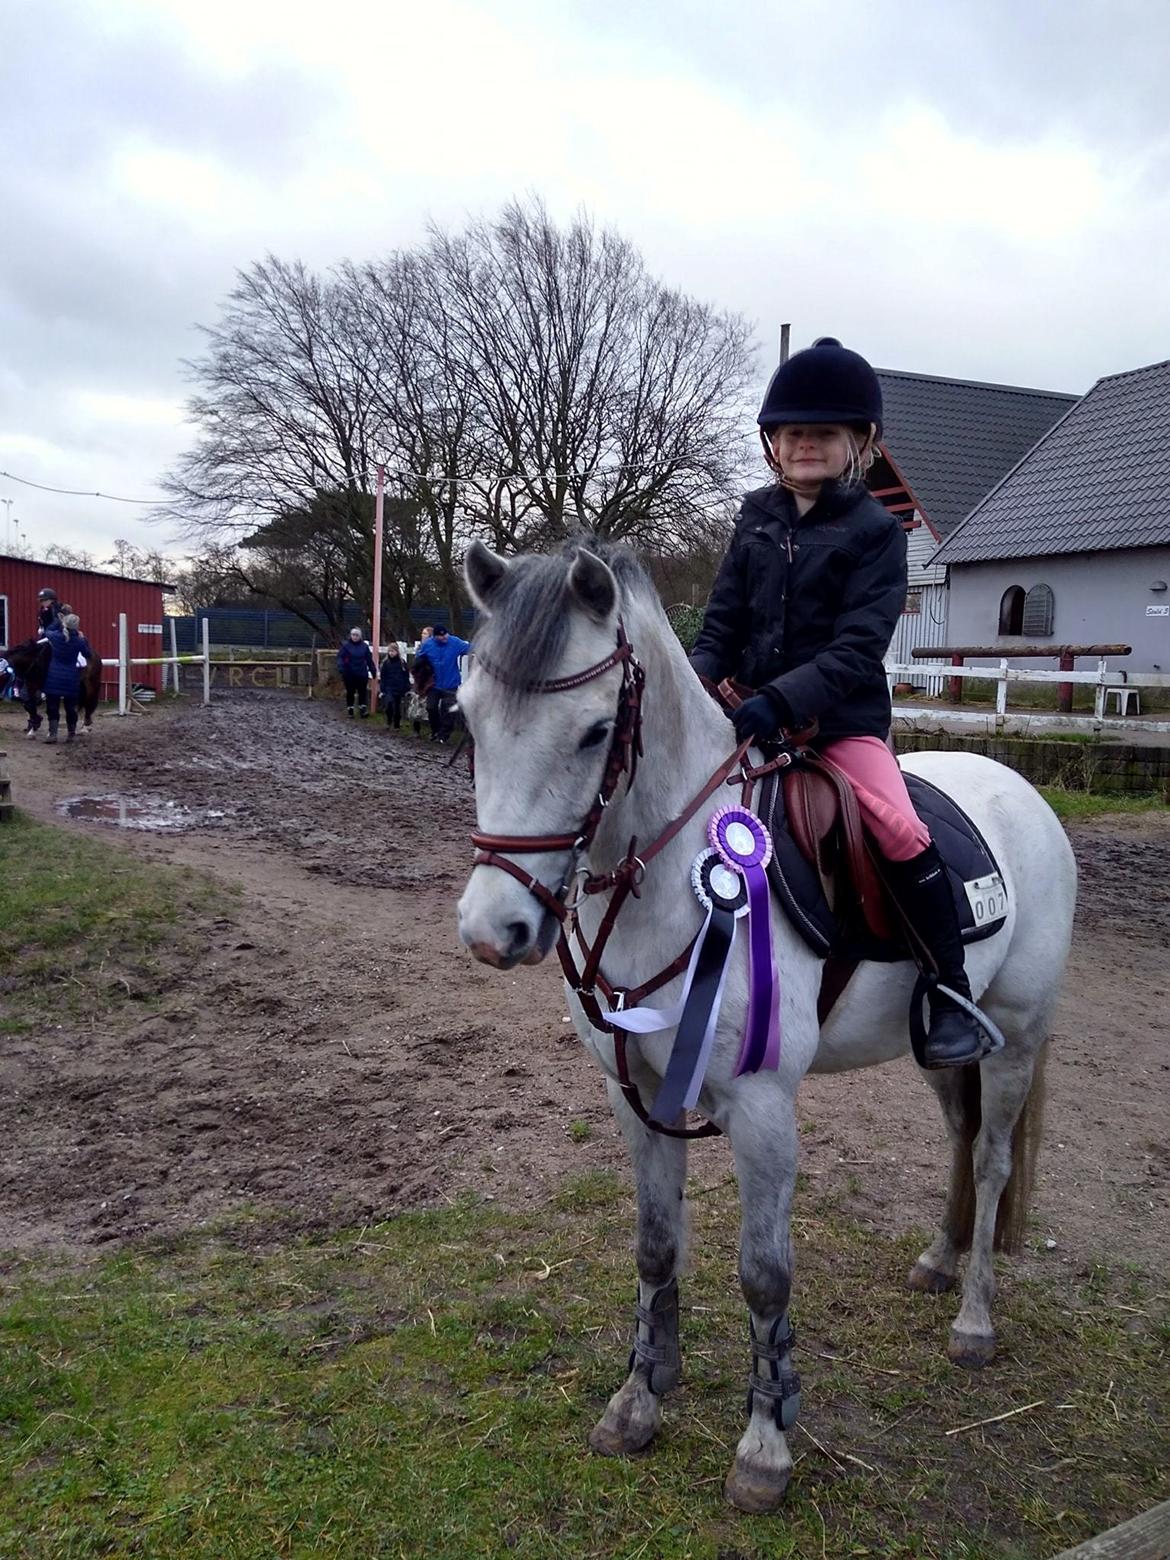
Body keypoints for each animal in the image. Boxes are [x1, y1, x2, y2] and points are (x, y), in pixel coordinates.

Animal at [455, 538, 1076, 1513]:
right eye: (468, 718)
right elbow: (654, 1246)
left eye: (594, 733)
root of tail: (1019, 788)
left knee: (991, 1158)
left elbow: (764, 1273)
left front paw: (765, 1444)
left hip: (1015, 1038)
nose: (494, 932)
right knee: (959, 1135)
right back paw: (938, 1262)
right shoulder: (635, 1096)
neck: (679, 874)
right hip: (942, 1048)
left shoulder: (761, 1109)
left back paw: (974, 1317)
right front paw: (639, 1399)